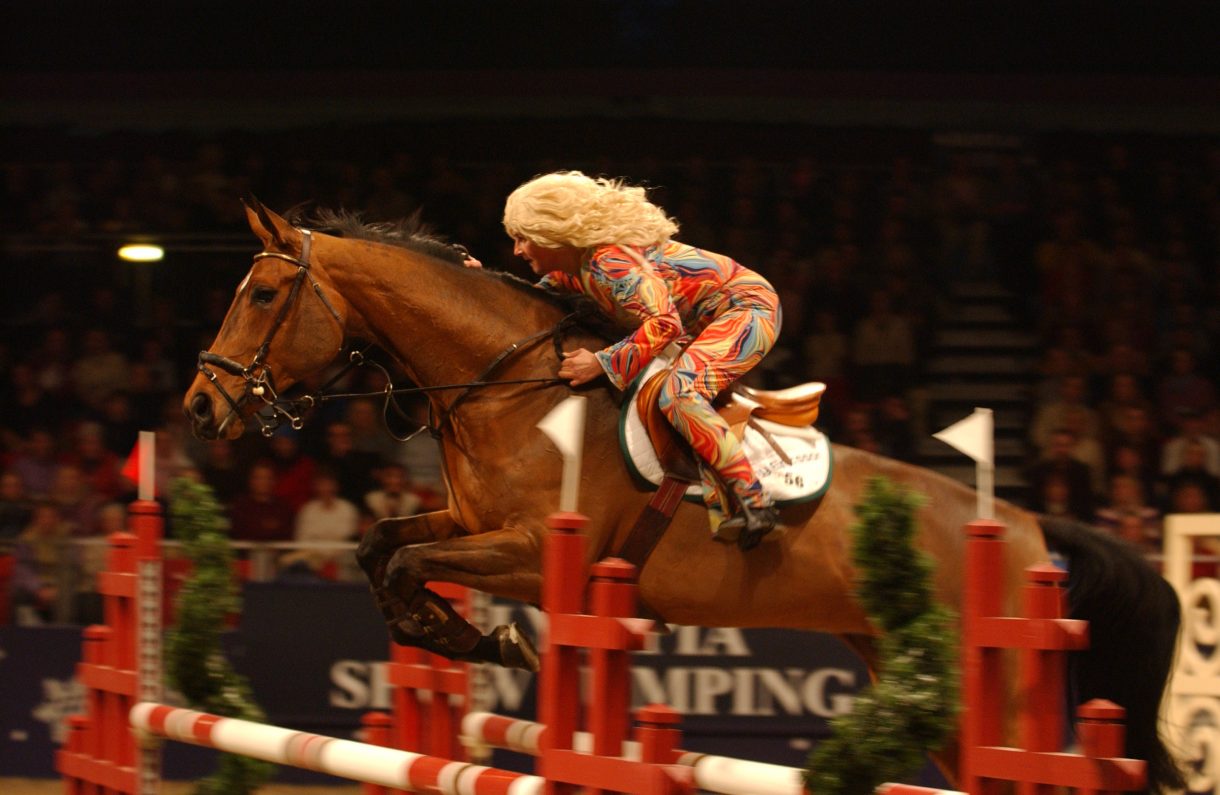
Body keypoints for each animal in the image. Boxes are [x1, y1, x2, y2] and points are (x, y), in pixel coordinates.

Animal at [184, 199, 1182, 792]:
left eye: (263, 293)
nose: (199, 406)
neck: (505, 384)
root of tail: (1026, 524)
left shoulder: (531, 549)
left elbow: (410, 564)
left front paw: (489, 638)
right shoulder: (471, 522)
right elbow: (381, 546)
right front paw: (463, 635)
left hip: (995, 689)